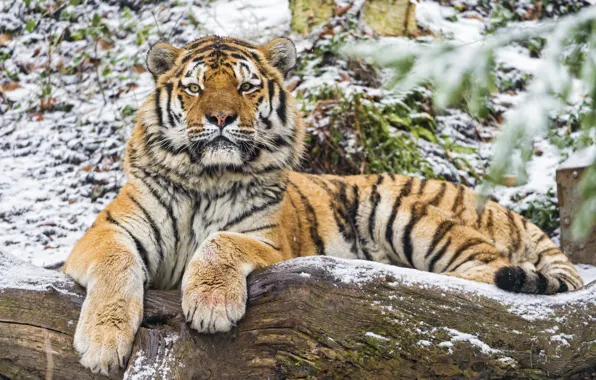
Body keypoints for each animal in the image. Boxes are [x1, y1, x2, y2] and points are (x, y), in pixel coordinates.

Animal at [62, 35, 584, 374]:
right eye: (194, 88)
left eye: (246, 87)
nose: (221, 117)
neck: (209, 177)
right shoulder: (107, 231)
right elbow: (116, 265)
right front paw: (102, 342)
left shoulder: (269, 241)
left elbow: (220, 241)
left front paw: (210, 304)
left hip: (405, 213)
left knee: (483, 275)